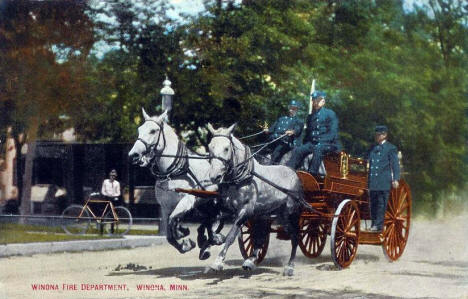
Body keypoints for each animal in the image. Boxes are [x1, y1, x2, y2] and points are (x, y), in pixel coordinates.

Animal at [128, 110, 223, 260]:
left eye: (153, 131)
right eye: (139, 130)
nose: (133, 155)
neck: (173, 173)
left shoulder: (186, 200)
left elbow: (173, 221)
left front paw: (182, 232)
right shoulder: (166, 207)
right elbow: (169, 236)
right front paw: (185, 243)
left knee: (215, 219)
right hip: (205, 203)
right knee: (211, 220)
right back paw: (206, 244)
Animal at [207, 123, 310, 276]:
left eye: (226, 148)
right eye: (210, 147)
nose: (215, 176)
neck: (243, 177)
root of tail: (294, 173)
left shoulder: (245, 210)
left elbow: (231, 235)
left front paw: (218, 262)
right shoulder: (225, 209)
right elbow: (211, 225)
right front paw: (209, 245)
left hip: (291, 213)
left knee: (295, 236)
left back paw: (290, 267)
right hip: (269, 214)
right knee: (261, 235)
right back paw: (250, 261)